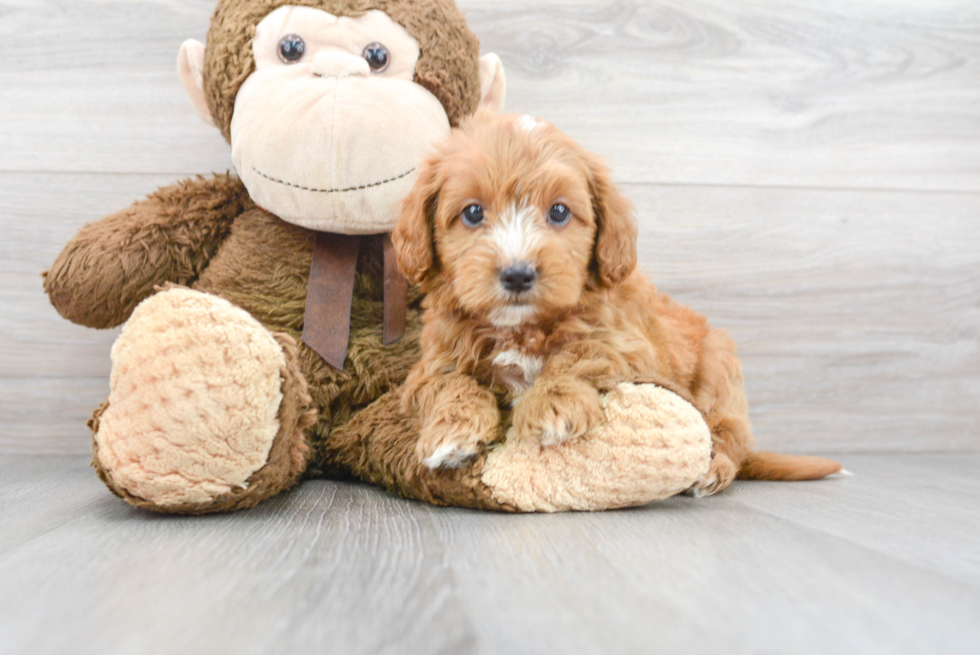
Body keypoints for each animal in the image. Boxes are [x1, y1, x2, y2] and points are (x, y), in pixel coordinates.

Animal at [390, 110, 844, 498]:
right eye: (472, 213)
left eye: (559, 212)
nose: (518, 274)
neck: (523, 326)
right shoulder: (431, 362)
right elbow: (452, 382)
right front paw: (452, 431)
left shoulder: (629, 347)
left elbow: (578, 354)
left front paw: (553, 404)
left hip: (719, 372)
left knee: (727, 437)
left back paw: (714, 471)